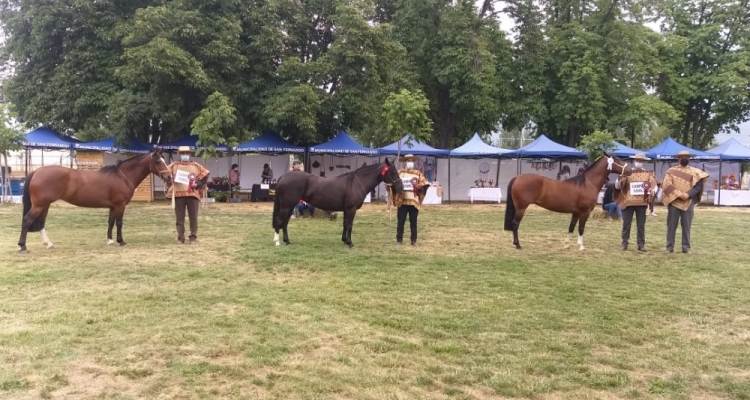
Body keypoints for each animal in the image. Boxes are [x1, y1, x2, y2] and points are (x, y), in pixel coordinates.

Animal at [18, 150, 173, 253]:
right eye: (158, 162)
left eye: (164, 161)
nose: (169, 177)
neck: (122, 177)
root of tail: (37, 172)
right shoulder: (120, 205)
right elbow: (119, 223)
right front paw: (121, 241)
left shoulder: (113, 206)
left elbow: (110, 222)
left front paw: (110, 240)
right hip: (39, 205)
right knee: (27, 220)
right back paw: (23, 246)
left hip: (45, 205)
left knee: (41, 222)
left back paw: (48, 243)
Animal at [274, 159, 406, 247]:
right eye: (393, 172)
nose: (401, 187)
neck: (355, 183)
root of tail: (283, 176)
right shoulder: (351, 209)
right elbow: (350, 225)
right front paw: (350, 243)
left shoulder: (346, 210)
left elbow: (345, 224)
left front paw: (344, 240)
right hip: (287, 206)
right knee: (279, 221)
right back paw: (277, 242)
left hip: (290, 206)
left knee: (285, 223)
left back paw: (287, 241)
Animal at [506, 153, 636, 250]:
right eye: (618, 159)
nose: (630, 170)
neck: (587, 184)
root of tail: (517, 177)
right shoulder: (585, 212)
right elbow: (581, 228)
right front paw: (581, 246)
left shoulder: (576, 212)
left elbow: (571, 227)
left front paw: (567, 244)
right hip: (521, 208)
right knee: (515, 224)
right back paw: (517, 244)